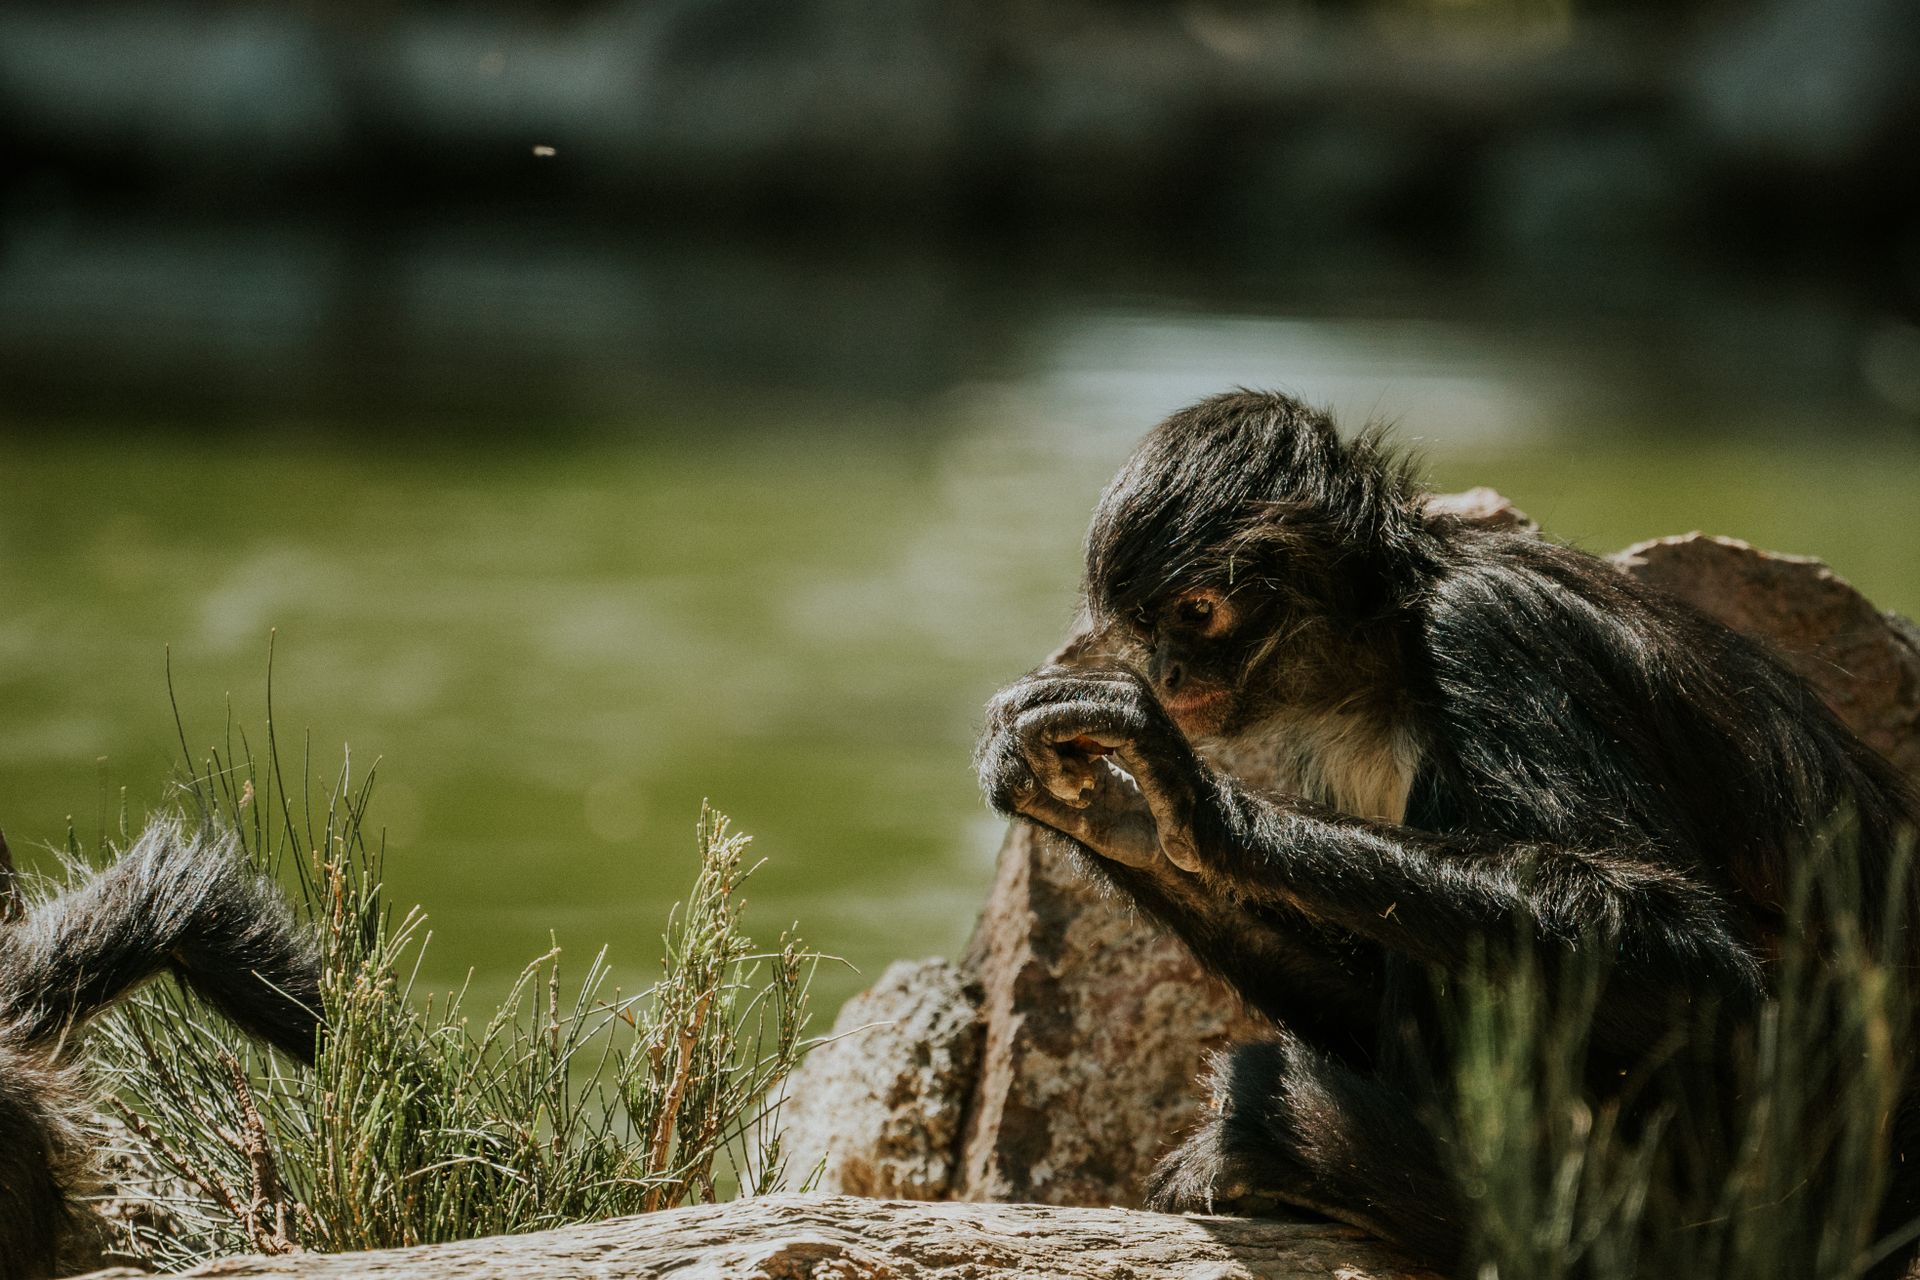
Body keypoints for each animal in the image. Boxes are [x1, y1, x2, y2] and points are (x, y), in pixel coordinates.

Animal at [974, 390, 1920, 1274]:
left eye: (1196, 613)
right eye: (1146, 627)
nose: (1167, 674)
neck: (1390, 648)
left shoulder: (1488, 622)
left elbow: (1692, 955)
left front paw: (1191, 797)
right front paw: (1114, 818)